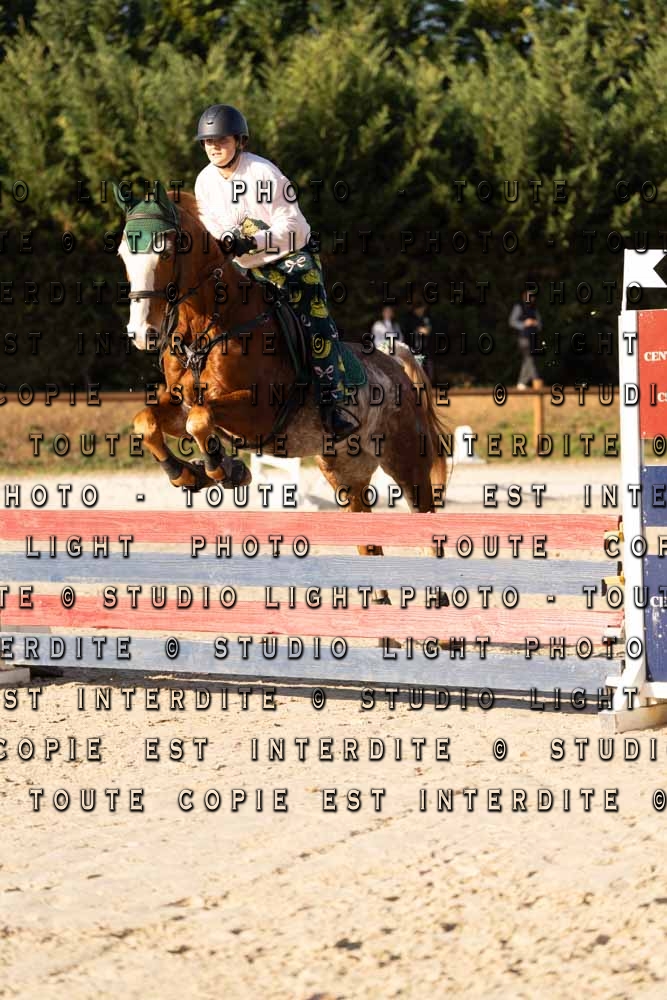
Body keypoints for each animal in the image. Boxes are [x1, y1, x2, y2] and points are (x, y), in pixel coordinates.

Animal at [115, 181, 450, 603]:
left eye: (166, 250)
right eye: (124, 253)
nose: (141, 333)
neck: (207, 324)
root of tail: (396, 365)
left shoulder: (259, 413)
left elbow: (201, 420)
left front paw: (224, 470)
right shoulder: (181, 403)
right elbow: (149, 421)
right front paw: (188, 474)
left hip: (406, 461)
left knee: (425, 518)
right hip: (344, 469)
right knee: (366, 531)